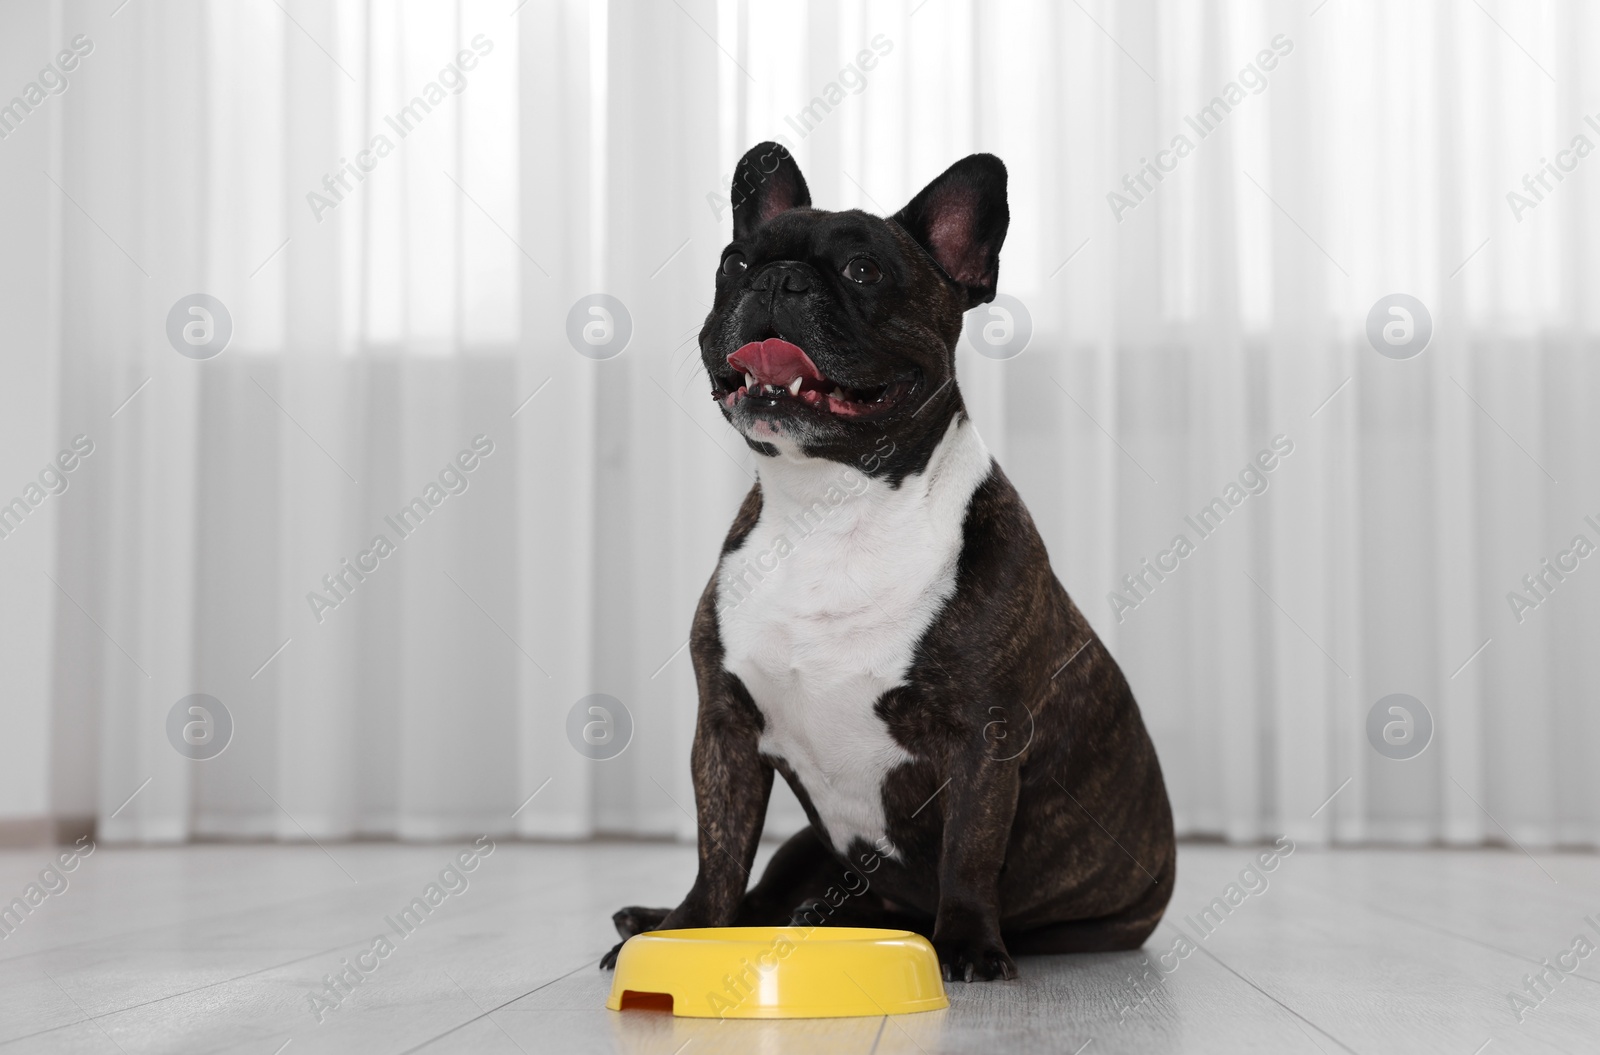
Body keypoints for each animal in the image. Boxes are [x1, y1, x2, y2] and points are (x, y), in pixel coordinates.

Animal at [601, 140, 1177, 979]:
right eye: (733, 263)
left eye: (864, 270)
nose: (777, 278)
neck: (832, 504)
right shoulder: (726, 729)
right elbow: (720, 851)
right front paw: (687, 930)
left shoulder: (983, 737)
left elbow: (970, 848)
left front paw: (967, 942)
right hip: (806, 847)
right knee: (765, 890)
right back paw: (662, 917)